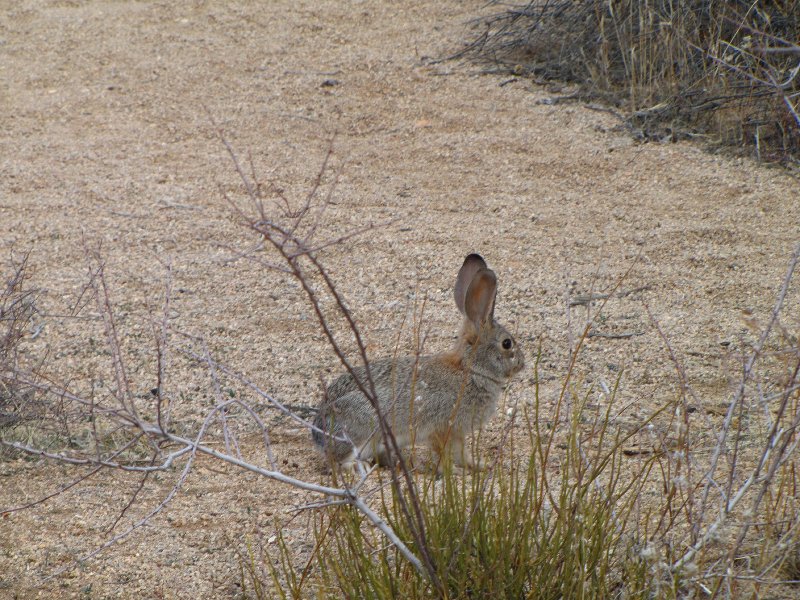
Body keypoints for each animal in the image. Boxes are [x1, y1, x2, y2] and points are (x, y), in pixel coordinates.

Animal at [312, 254, 525, 471]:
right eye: (507, 343)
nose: (522, 363)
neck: (470, 369)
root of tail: (318, 433)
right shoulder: (442, 428)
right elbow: (445, 454)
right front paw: (454, 471)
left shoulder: (458, 432)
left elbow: (462, 454)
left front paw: (480, 465)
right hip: (361, 431)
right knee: (340, 461)